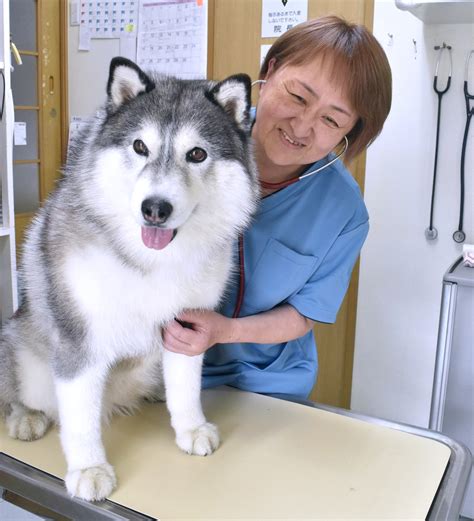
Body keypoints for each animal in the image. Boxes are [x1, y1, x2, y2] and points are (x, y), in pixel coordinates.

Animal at [0, 57, 260, 500]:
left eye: (196, 154)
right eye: (140, 147)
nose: (154, 208)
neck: (152, 261)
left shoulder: (187, 328)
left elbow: (186, 387)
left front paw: (190, 427)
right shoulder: (79, 342)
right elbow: (80, 419)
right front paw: (88, 468)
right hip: (23, 352)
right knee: (21, 391)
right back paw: (26, 416)